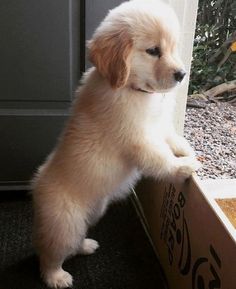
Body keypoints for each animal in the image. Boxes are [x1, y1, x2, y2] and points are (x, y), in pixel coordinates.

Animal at [31, 0, 199, 286]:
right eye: (153, 51)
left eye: (173, 47)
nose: (182, 74)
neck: (133, 89)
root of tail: (35, 188)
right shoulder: (137, 140)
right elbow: (160, 158)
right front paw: (183, 167)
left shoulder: (158, 126)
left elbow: (169, 136)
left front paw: (186, 149)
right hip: (64, 222)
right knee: (50, 252)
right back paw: (56, 277)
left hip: (93, 213)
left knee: (73, 241)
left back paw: (85, 246)